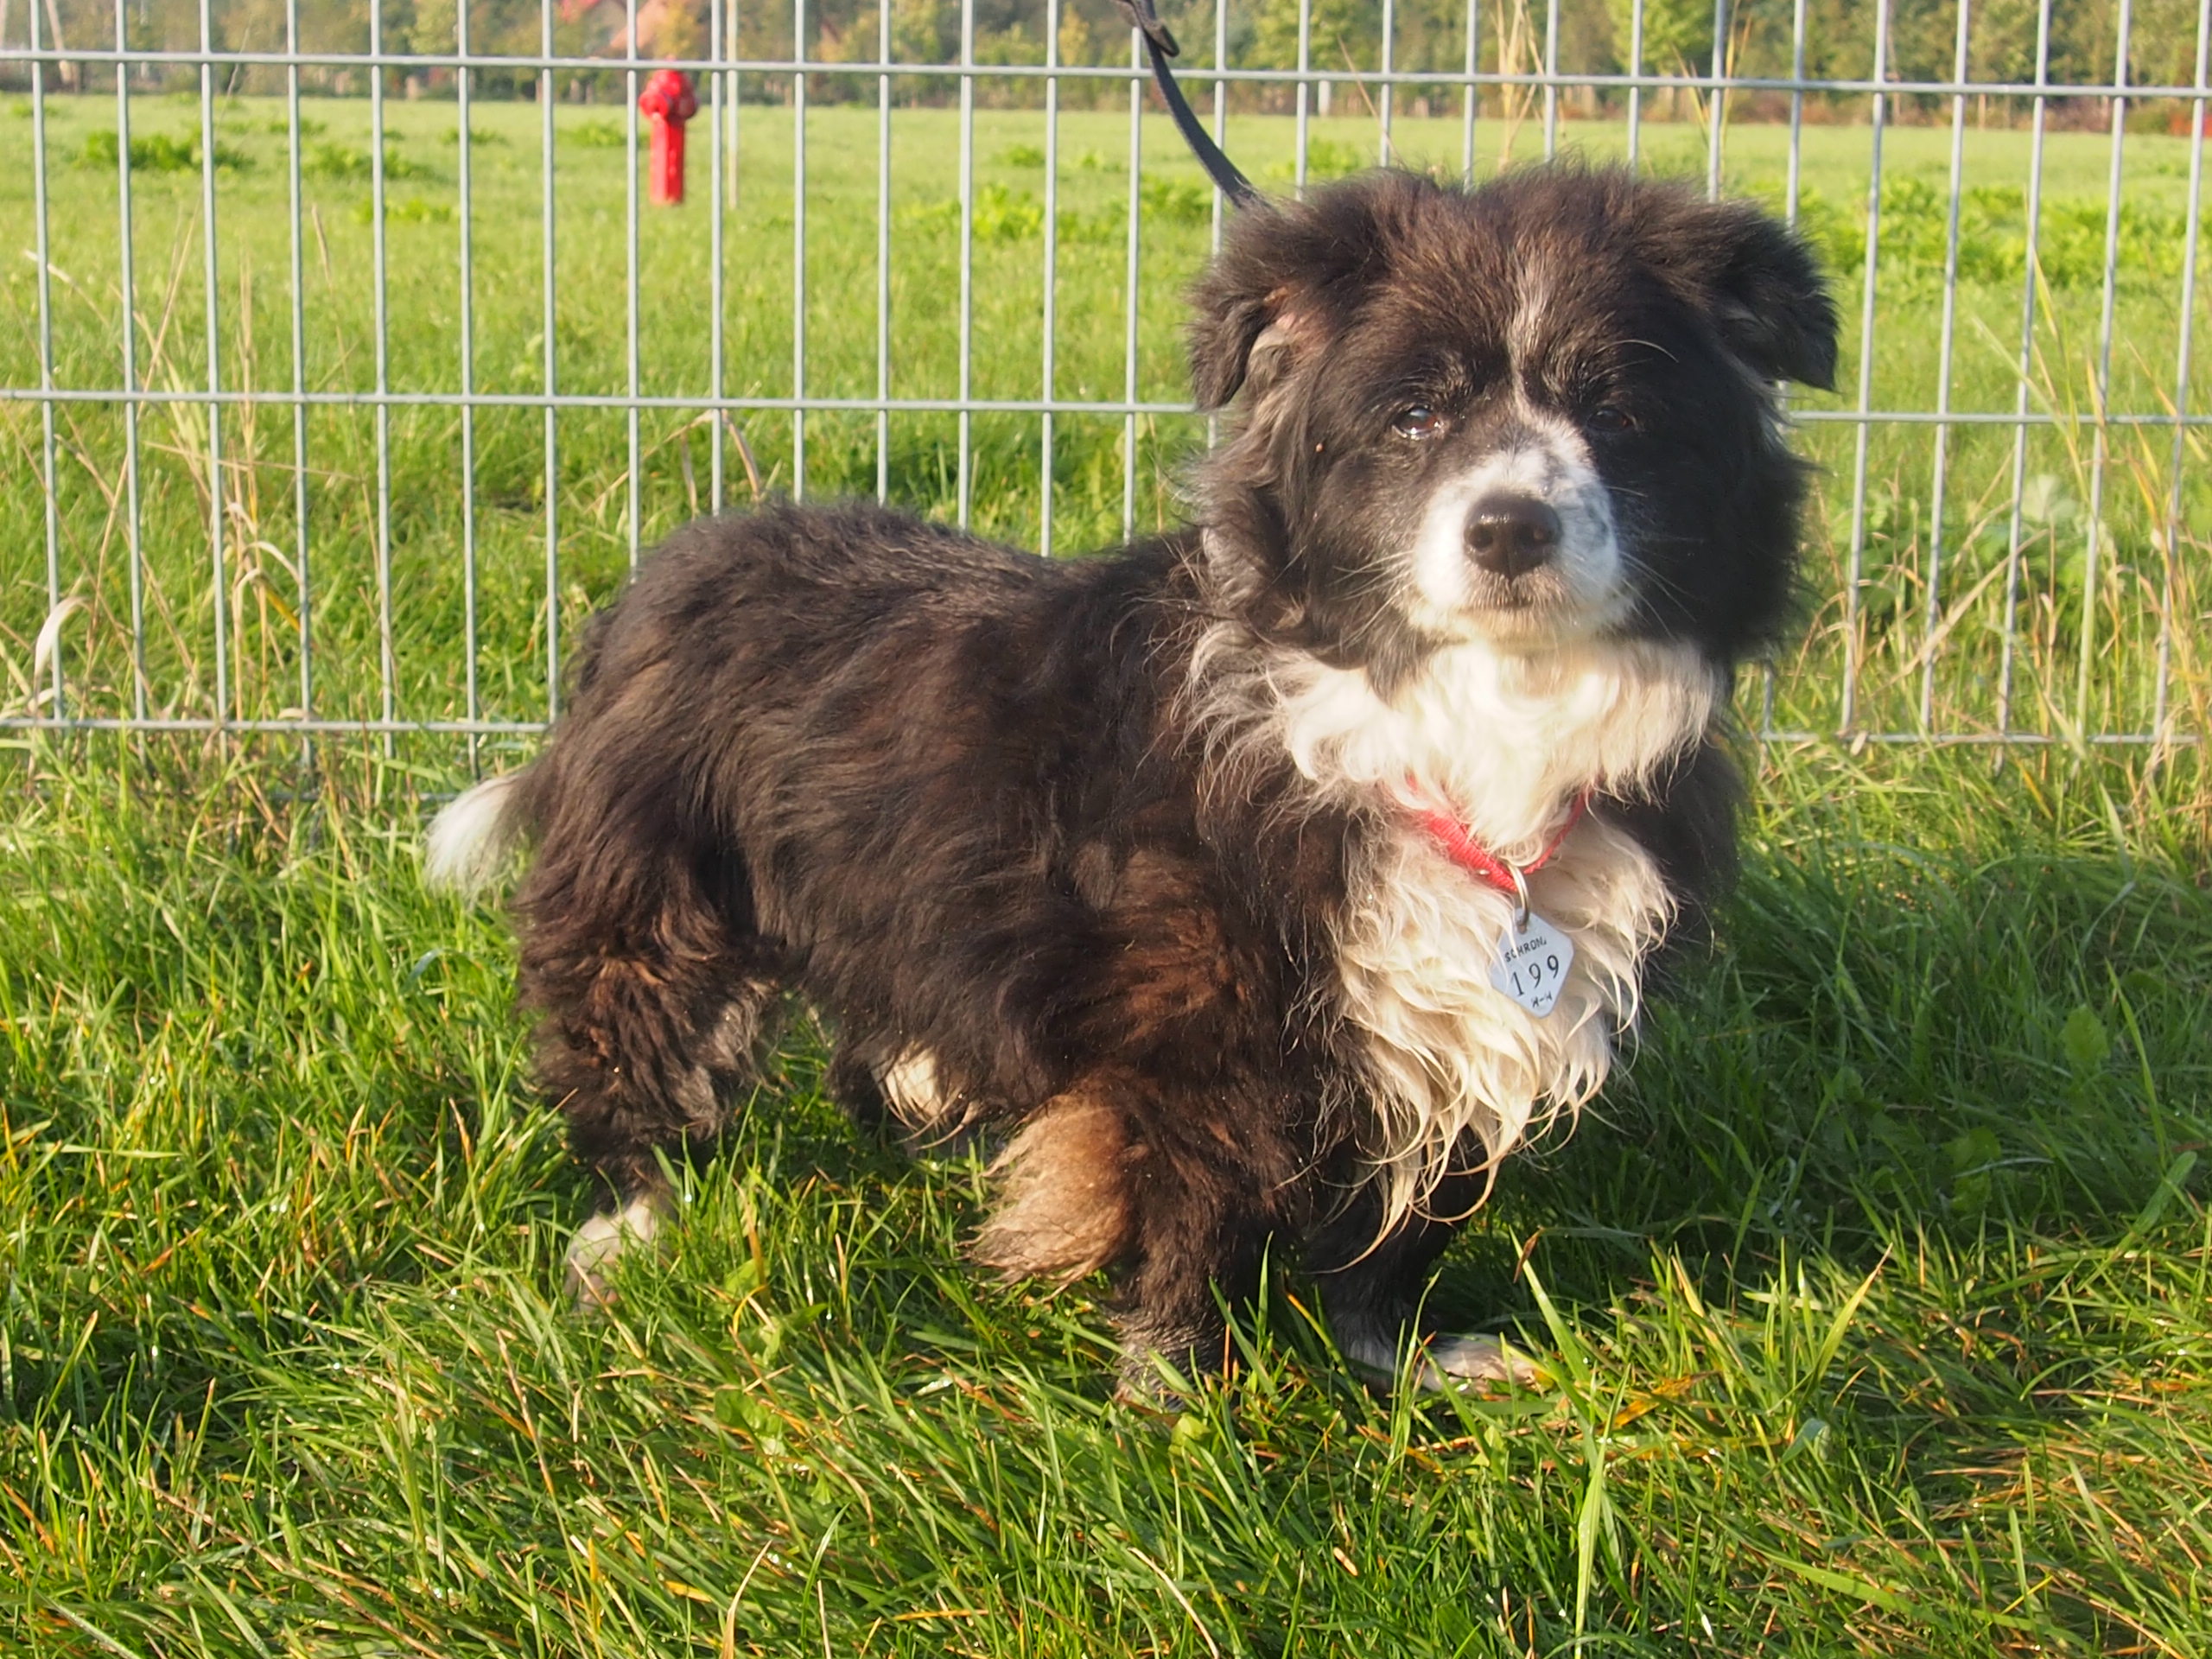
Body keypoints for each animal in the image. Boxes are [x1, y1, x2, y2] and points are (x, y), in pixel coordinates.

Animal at [426, 164, 1836, 1392]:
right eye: (1413, 417)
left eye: (1619, 415)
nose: (1508, 529)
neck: (1460, 720)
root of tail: (664, 572)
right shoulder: (1200, 1031)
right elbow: (1190, 1218)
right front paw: (1176, 1409)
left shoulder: (1456, 1021)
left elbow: (1403, 1224)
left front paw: (1404, 1364)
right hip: (657, 897)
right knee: (633, 1042)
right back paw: (622, 1235)